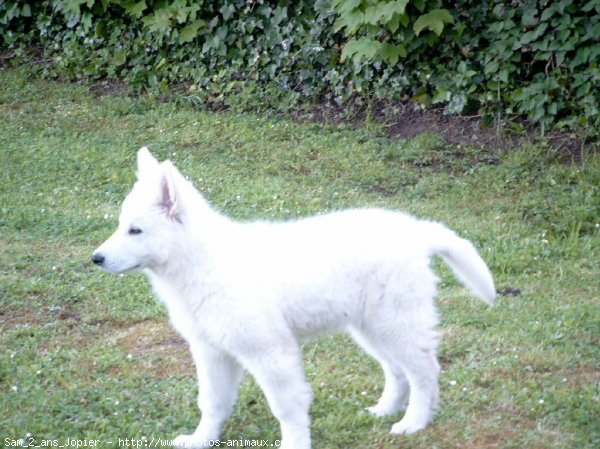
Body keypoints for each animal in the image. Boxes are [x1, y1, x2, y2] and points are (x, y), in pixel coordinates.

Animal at [92, 148, 496, 448]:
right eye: (120, 225)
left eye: (135, 231)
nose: (95, 258)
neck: (199, 261)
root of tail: (416, 231)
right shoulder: (212, 351)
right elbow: (211, 402)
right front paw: (201, 439)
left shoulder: (269, 352)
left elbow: (286, 407)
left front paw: (294, 443)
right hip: (371, 327)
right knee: (396, 370)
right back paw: (385, 410)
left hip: (395, 323)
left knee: (424, 372)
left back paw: (414, 422)